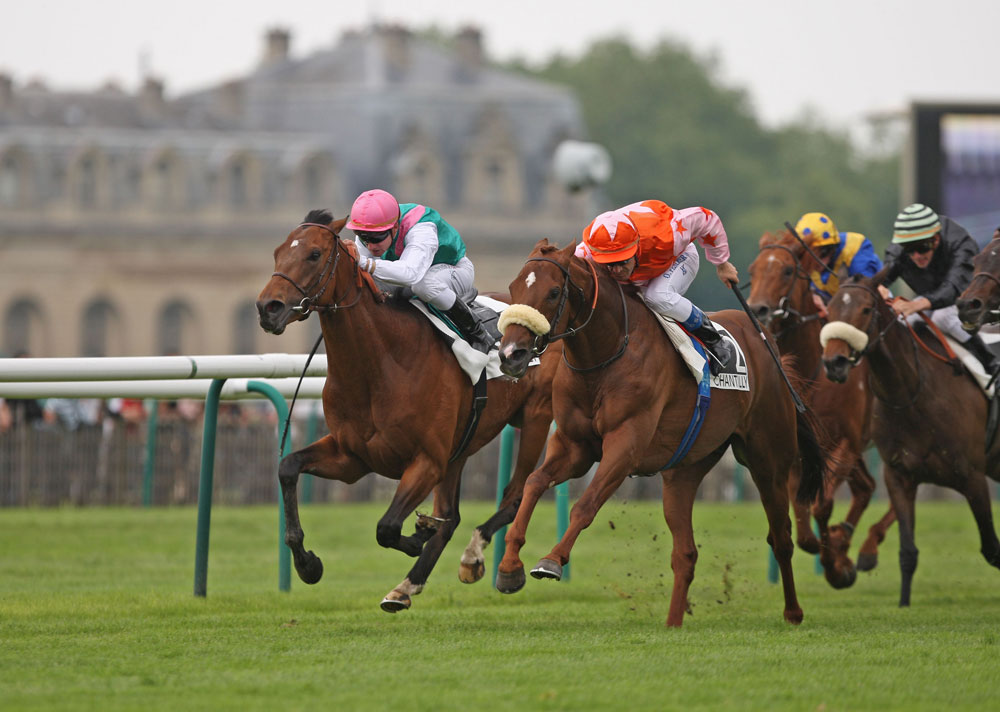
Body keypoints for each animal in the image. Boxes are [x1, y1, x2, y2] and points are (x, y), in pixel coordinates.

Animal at [256, 209, 564, 608]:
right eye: (278, 253)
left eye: (313, 254)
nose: (268, 308)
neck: (382, 364)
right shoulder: (352, 457)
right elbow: (288, 467)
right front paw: (308, 564)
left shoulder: (427, 461)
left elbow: (387, 527)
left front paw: (418, 534)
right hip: (462, 445)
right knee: (453, 514)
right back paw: (407, 585)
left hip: (535, 418)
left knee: (515, 494)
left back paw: (477, 559)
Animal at [496, 241, 824, 628]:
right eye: (514, 288)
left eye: (552, 292)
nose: (510, 354)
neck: (606, 354)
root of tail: (767, 343)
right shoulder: (575, 446)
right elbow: (533, 483)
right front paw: (509, 566)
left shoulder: (625, 445)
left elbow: (585, 505)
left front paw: (552, 560)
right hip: (684, 470)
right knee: (686, 552)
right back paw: (673, 622)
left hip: (767, 458)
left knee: (782, 537)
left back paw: (793, 611)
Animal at [748, 231, 896, 588]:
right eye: (752, 270)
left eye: (787, 270)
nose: (758, 309)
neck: (813, 370)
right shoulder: (801, 447)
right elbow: (803, 514)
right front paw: (830, 551)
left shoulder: (847, 443)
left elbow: (822, 504)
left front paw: (835, 564)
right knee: (867, 487)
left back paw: (862, 548)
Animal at [820, 268, 1000, 608]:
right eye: (831, 309)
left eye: (866, 309)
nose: (833, 363)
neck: (912, 393)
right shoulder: (899, 475)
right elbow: (908, 552)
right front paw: (903, 604)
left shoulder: (973, 477)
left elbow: (991, 549)